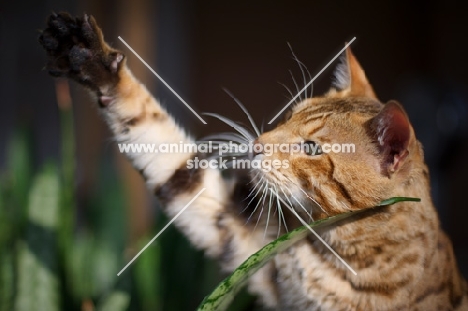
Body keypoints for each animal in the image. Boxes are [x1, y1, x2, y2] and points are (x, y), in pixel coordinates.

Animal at [40, 12, 468, 311]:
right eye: (290, 115)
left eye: (311, 148)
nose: (258, 144)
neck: (336, 254)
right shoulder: (241, 234)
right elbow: (157, 138)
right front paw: (96, 63)